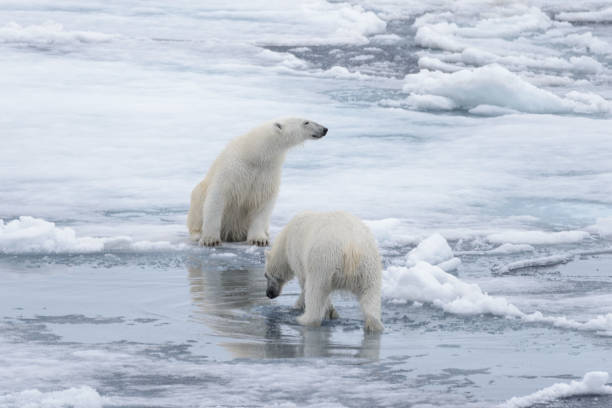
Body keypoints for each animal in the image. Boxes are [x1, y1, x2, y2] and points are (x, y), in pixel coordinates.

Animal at [186, 116, 328, 247]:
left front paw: (259, 239)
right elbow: (217, 198)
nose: (324, 129)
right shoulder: (232, 169)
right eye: (306, 122)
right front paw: (210, 240)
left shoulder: (267, 173)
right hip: (198, 197)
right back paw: (197, 234)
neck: (255, 154)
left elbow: (263, 201)